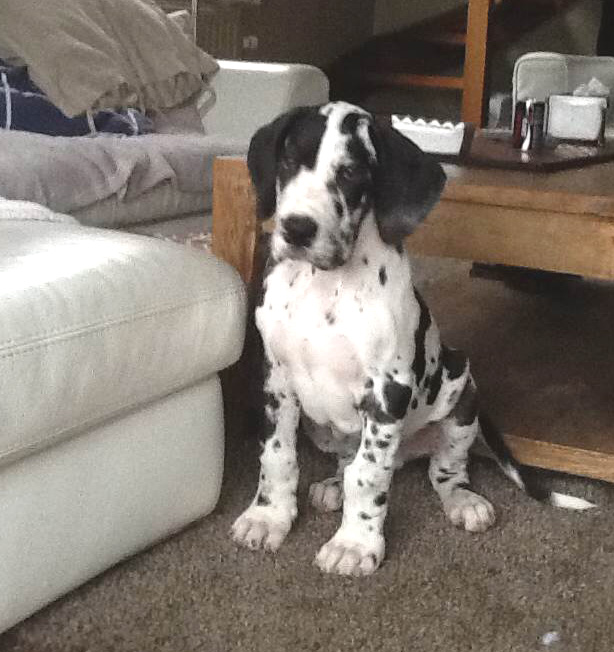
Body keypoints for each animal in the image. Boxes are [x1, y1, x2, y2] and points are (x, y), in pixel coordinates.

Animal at [231, 101, 594, 576]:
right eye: (290, 160)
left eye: (351, 173)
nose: (297, 229)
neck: (325, 286)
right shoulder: (275, 379)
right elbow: (277, 455)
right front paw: (268, 516)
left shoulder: (387, 391)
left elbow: (369, 476)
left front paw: (355, 543)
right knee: (346, 462)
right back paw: (332, 486)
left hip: (462, 395)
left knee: (444, 472)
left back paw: (464, 502)